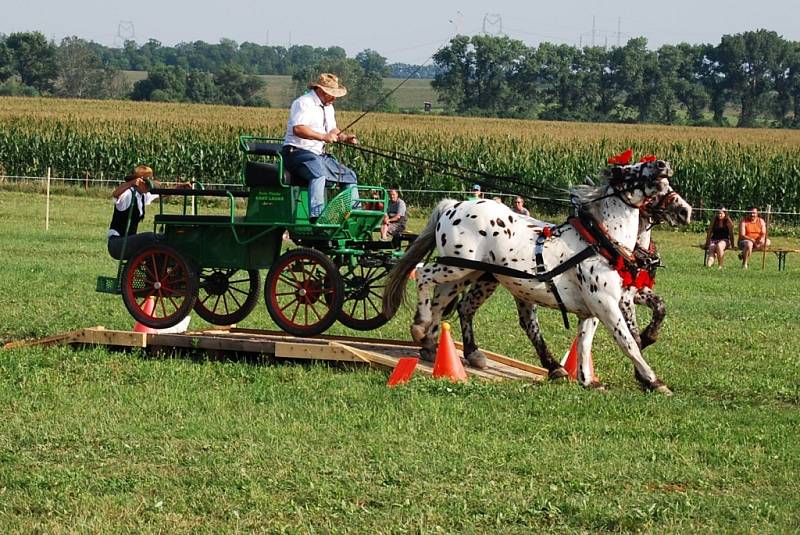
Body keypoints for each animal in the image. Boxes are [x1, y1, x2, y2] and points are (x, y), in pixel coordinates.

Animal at [384, 159, 692, 394]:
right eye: (630, 170)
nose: (685, 211)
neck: (602, 242)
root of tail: (454, 204)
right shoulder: (608, 304)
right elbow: (628, 341)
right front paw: (653, 380)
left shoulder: (595, 308)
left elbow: (586, 342)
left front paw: (586, 379)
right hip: (457, 268)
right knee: (424, 276)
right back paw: (421, 328)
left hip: (469, 274)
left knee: (449, 303)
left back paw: (433, 343)